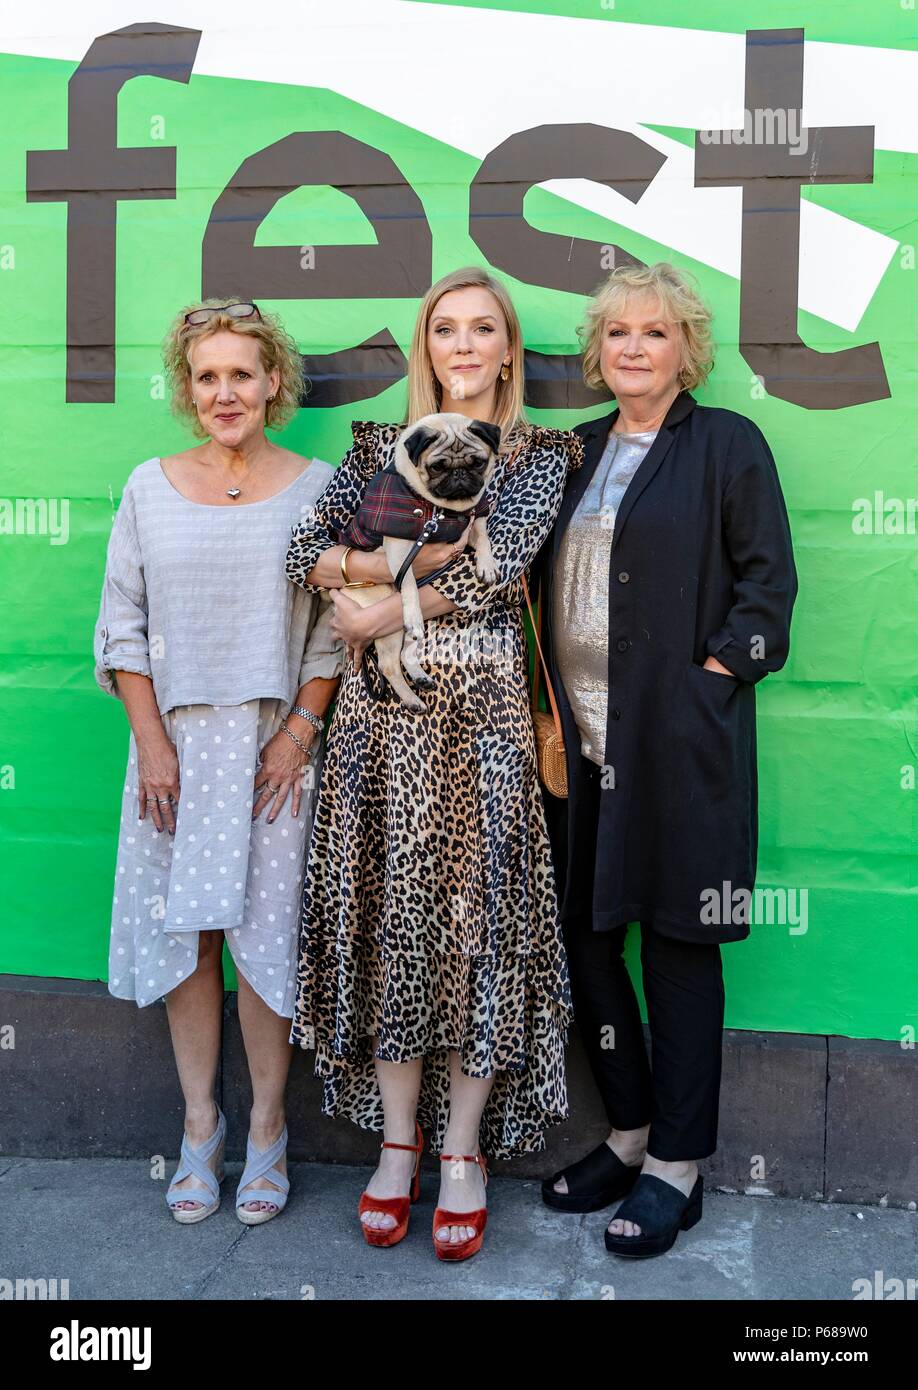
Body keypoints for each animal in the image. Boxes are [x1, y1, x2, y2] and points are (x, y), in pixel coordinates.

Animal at [335, 411, 497, 711]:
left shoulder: (473, 520)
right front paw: (412, 610)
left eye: (478, 463)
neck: (442, 511)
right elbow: (408, 582)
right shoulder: (400, 549)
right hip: (381, 613)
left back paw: (419, 678)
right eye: (437, 467)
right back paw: (411, 699)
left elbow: (483, 539)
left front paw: (487, 564)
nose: (459, 474)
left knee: (405, 652)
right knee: (389, 664)